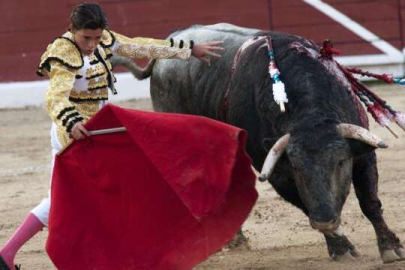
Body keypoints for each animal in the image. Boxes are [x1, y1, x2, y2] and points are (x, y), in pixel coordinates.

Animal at [110, 23, 404, 264]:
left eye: (341, 162)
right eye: (297, 167)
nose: (325, 219)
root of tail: (172, 43)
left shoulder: (362, 152)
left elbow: (369, 201)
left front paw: (391, 247)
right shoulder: (273, 168)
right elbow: (302, 200)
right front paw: (340, 247)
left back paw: (235, 238)